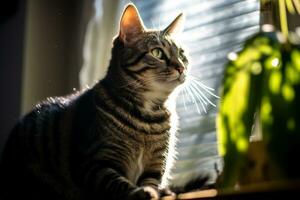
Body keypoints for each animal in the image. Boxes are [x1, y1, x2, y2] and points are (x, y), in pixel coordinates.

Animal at [0, 3, 202, 200]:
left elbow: (151, 182)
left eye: (182, 55)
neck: (149, 116)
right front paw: (139, 192)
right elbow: (118, 183)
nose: (181, 67)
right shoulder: (96, 164)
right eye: (158, 53)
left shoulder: (155, 167)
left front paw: (156, 191)